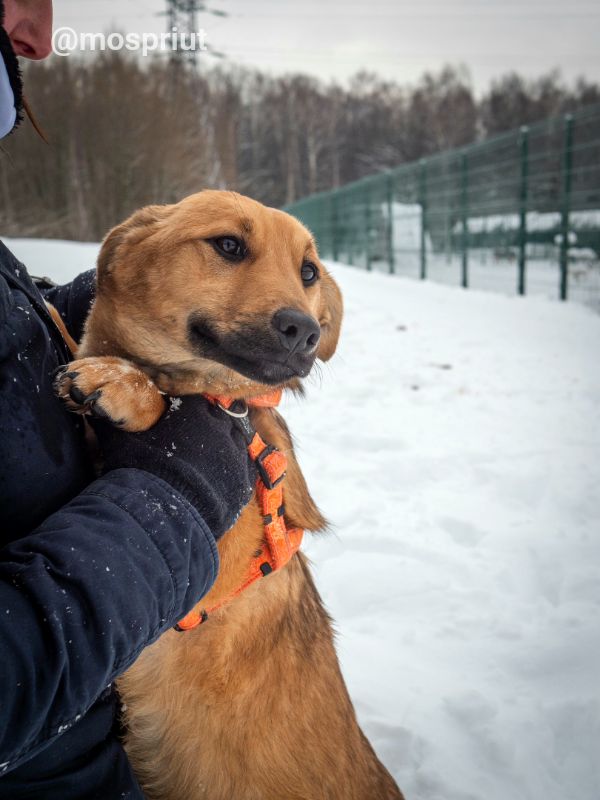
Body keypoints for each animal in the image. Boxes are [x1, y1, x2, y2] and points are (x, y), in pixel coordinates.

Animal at [54, 191, 406, 796]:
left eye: (308, 272)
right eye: (228, 245)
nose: (305, 331)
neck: (227, 408)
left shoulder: (203, 581)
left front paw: (126, 386)